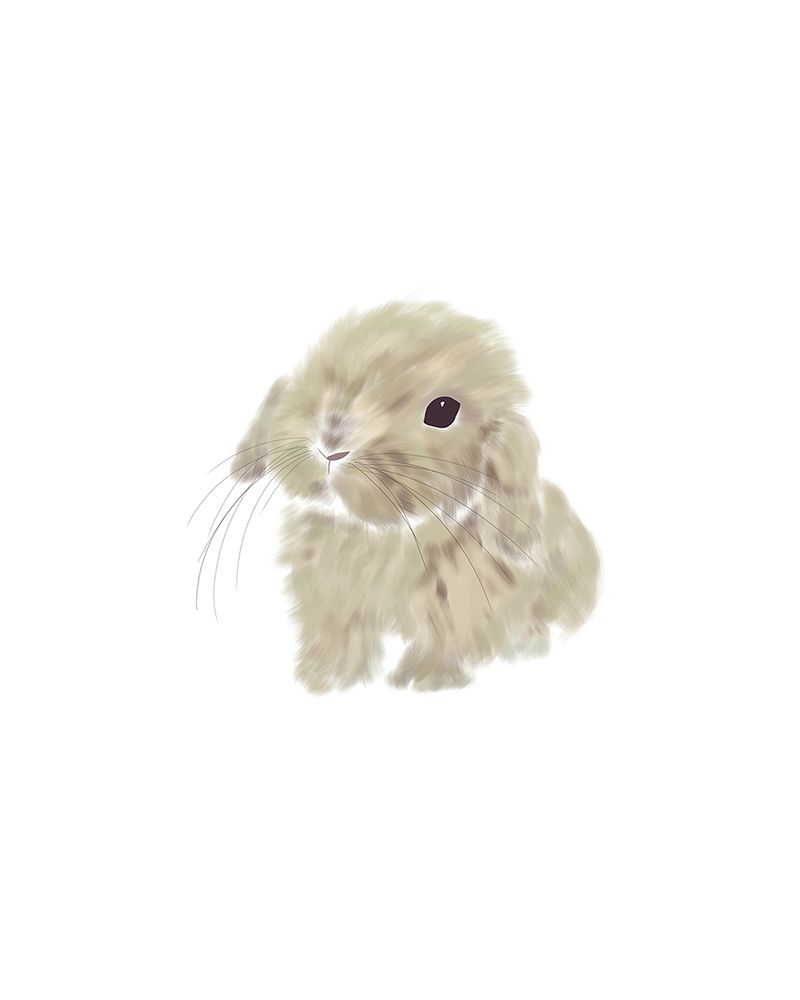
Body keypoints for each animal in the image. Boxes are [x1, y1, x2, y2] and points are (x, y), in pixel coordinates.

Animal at [224, 300, 600, 692]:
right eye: (320, 367)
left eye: (443, 410)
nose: (330, 443)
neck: (384, 535)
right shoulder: (333, 602)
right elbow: (339, 636)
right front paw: (324, 677)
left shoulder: (457, 606)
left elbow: (445, 641)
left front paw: (424, 681)